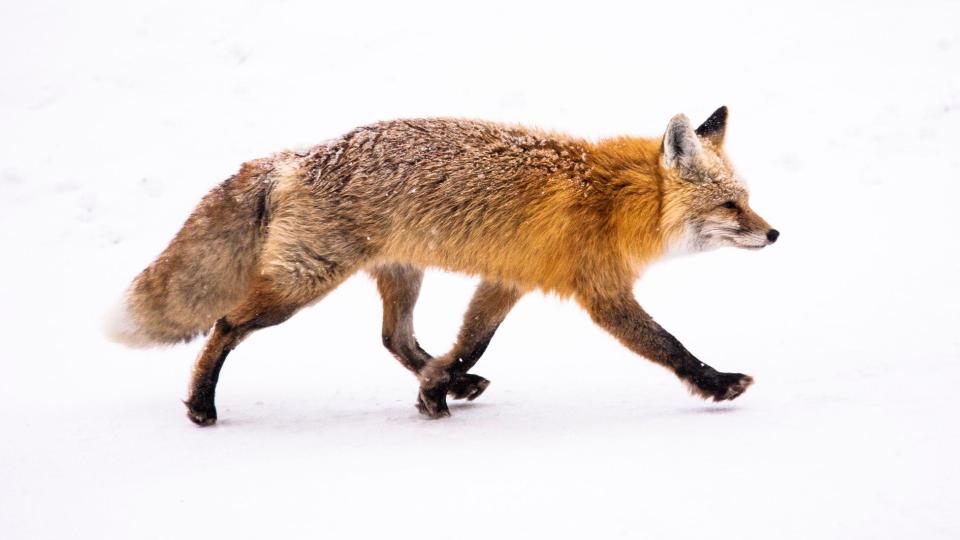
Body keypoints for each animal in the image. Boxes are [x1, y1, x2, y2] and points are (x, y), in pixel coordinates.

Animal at [107, 106, 779, 425]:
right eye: (731, 205)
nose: (774, 233)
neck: (615, 199)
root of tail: (294, 157)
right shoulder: (601, 293)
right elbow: (668, 345)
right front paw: (717, 383)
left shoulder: (508, 281)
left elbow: (469, 344)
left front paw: (436, 391)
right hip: (303, 282)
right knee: (225, 325)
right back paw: (201, 406)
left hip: (400, 274)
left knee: (395, 339)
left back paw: (452, 387)